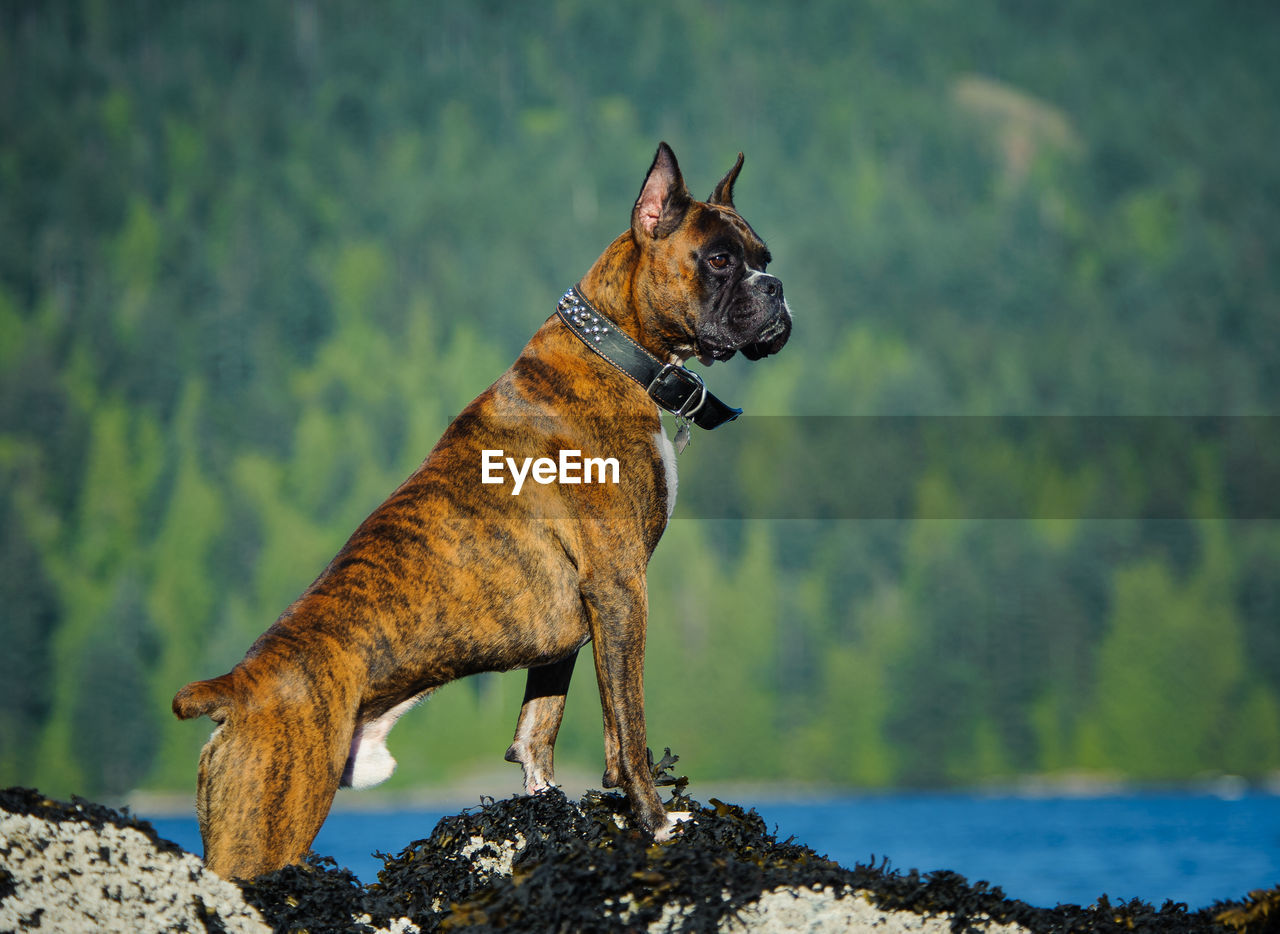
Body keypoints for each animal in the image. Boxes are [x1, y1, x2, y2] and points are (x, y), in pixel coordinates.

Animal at [170, 142, 788, 875]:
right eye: (718, 259)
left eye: (764, 256)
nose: (776, 289)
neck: (616, 348)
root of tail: (237, 686)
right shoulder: (619, 589)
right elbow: (628, 723)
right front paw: (656, 821)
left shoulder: (573, 626)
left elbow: (540, 729)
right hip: (270, 826)